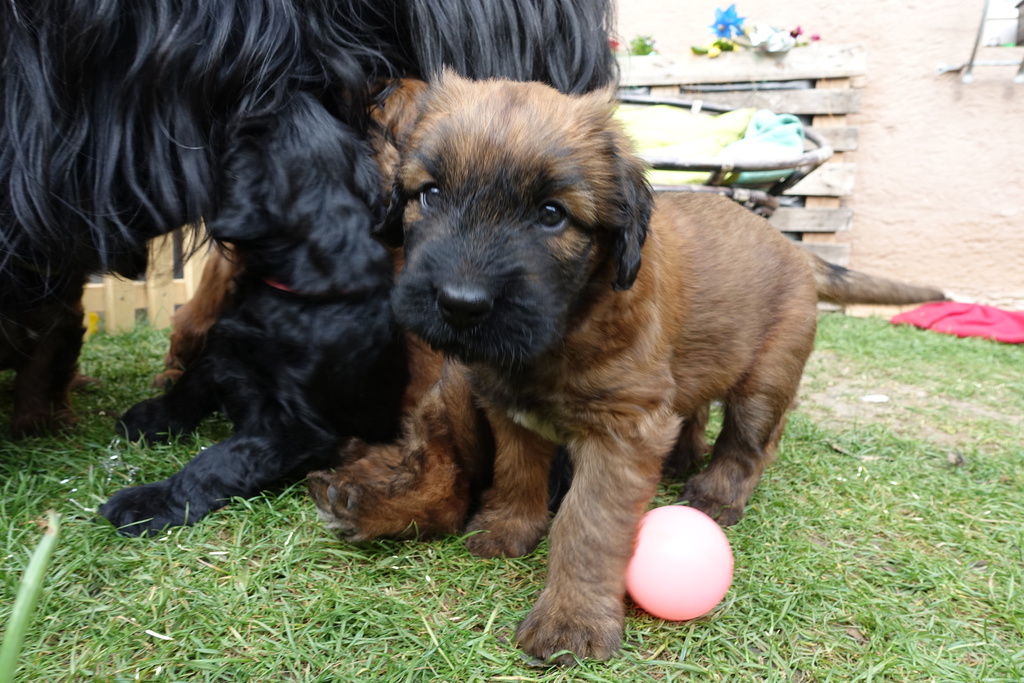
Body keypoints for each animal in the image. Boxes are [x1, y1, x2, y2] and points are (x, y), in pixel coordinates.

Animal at [98, 92, 412, 536]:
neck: (304, 286)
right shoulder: (223, 348)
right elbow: (190, 387)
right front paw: (151, 417)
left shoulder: (295, 428)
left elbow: (218, 460)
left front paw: (148, 501)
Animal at [311, 73, 947, 664]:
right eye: (431, 194)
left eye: (552, 214)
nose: (460, 304)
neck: (567, 324)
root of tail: (792, 244)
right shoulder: (512, 412)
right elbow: (517, 474)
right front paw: (507, 529)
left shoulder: (623, 431)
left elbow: (587, 523)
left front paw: (572, 621)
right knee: (695, 409)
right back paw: (683, 459)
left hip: (766, 378)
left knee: (749, 443)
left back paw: (716, 493)